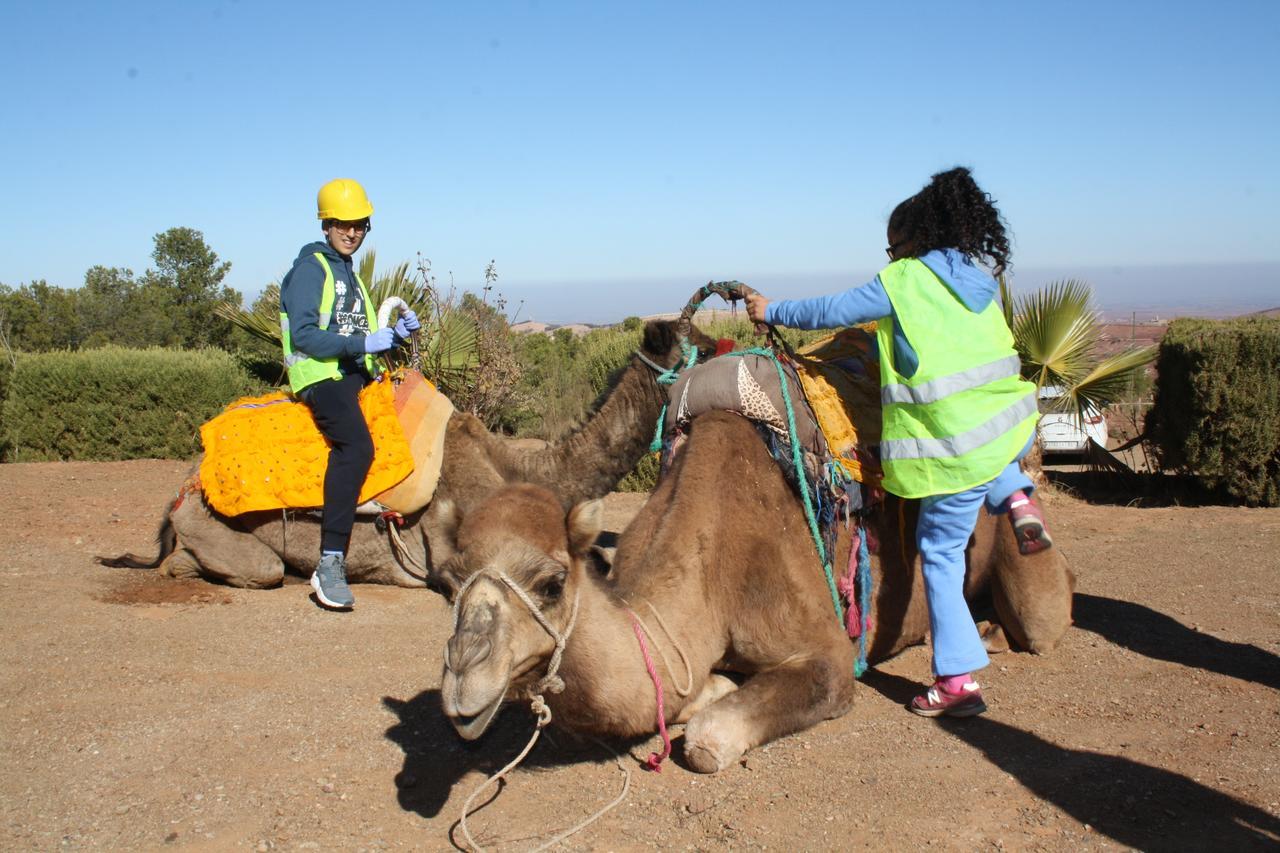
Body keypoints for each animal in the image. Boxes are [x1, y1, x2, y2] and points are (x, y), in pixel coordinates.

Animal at [103, 315, 716, 589]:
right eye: (703, 348)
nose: (730, 345)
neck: (530, 471)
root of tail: (184, 487)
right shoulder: (453, 558)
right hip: (227, 536)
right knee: (253, 568)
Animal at [435, 409, 1075, 768]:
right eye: (448, 580)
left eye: (550, 583)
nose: (464, 676)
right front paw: (716, 685)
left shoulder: (824, 647)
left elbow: (707, 741)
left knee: (1043, 616)